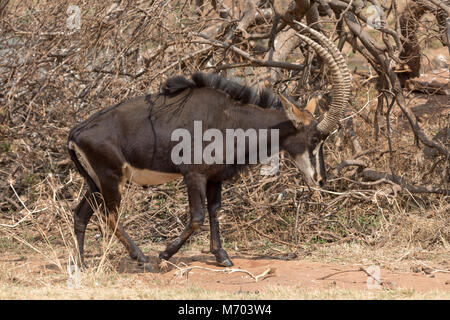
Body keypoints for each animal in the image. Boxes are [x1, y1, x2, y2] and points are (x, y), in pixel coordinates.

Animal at [67, 23, 352, 268]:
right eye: (314, 139)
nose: (321, 180)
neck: (230, 118)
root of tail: (76, 132)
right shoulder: (194, 175)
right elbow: (197, 217)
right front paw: (165, 253)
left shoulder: (216, 178)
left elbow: (215, 211)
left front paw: (221, 256)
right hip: (110, 178)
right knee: (110, 215)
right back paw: (142, 258)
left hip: (96, 182)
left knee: (81, 214)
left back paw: (81, 264)